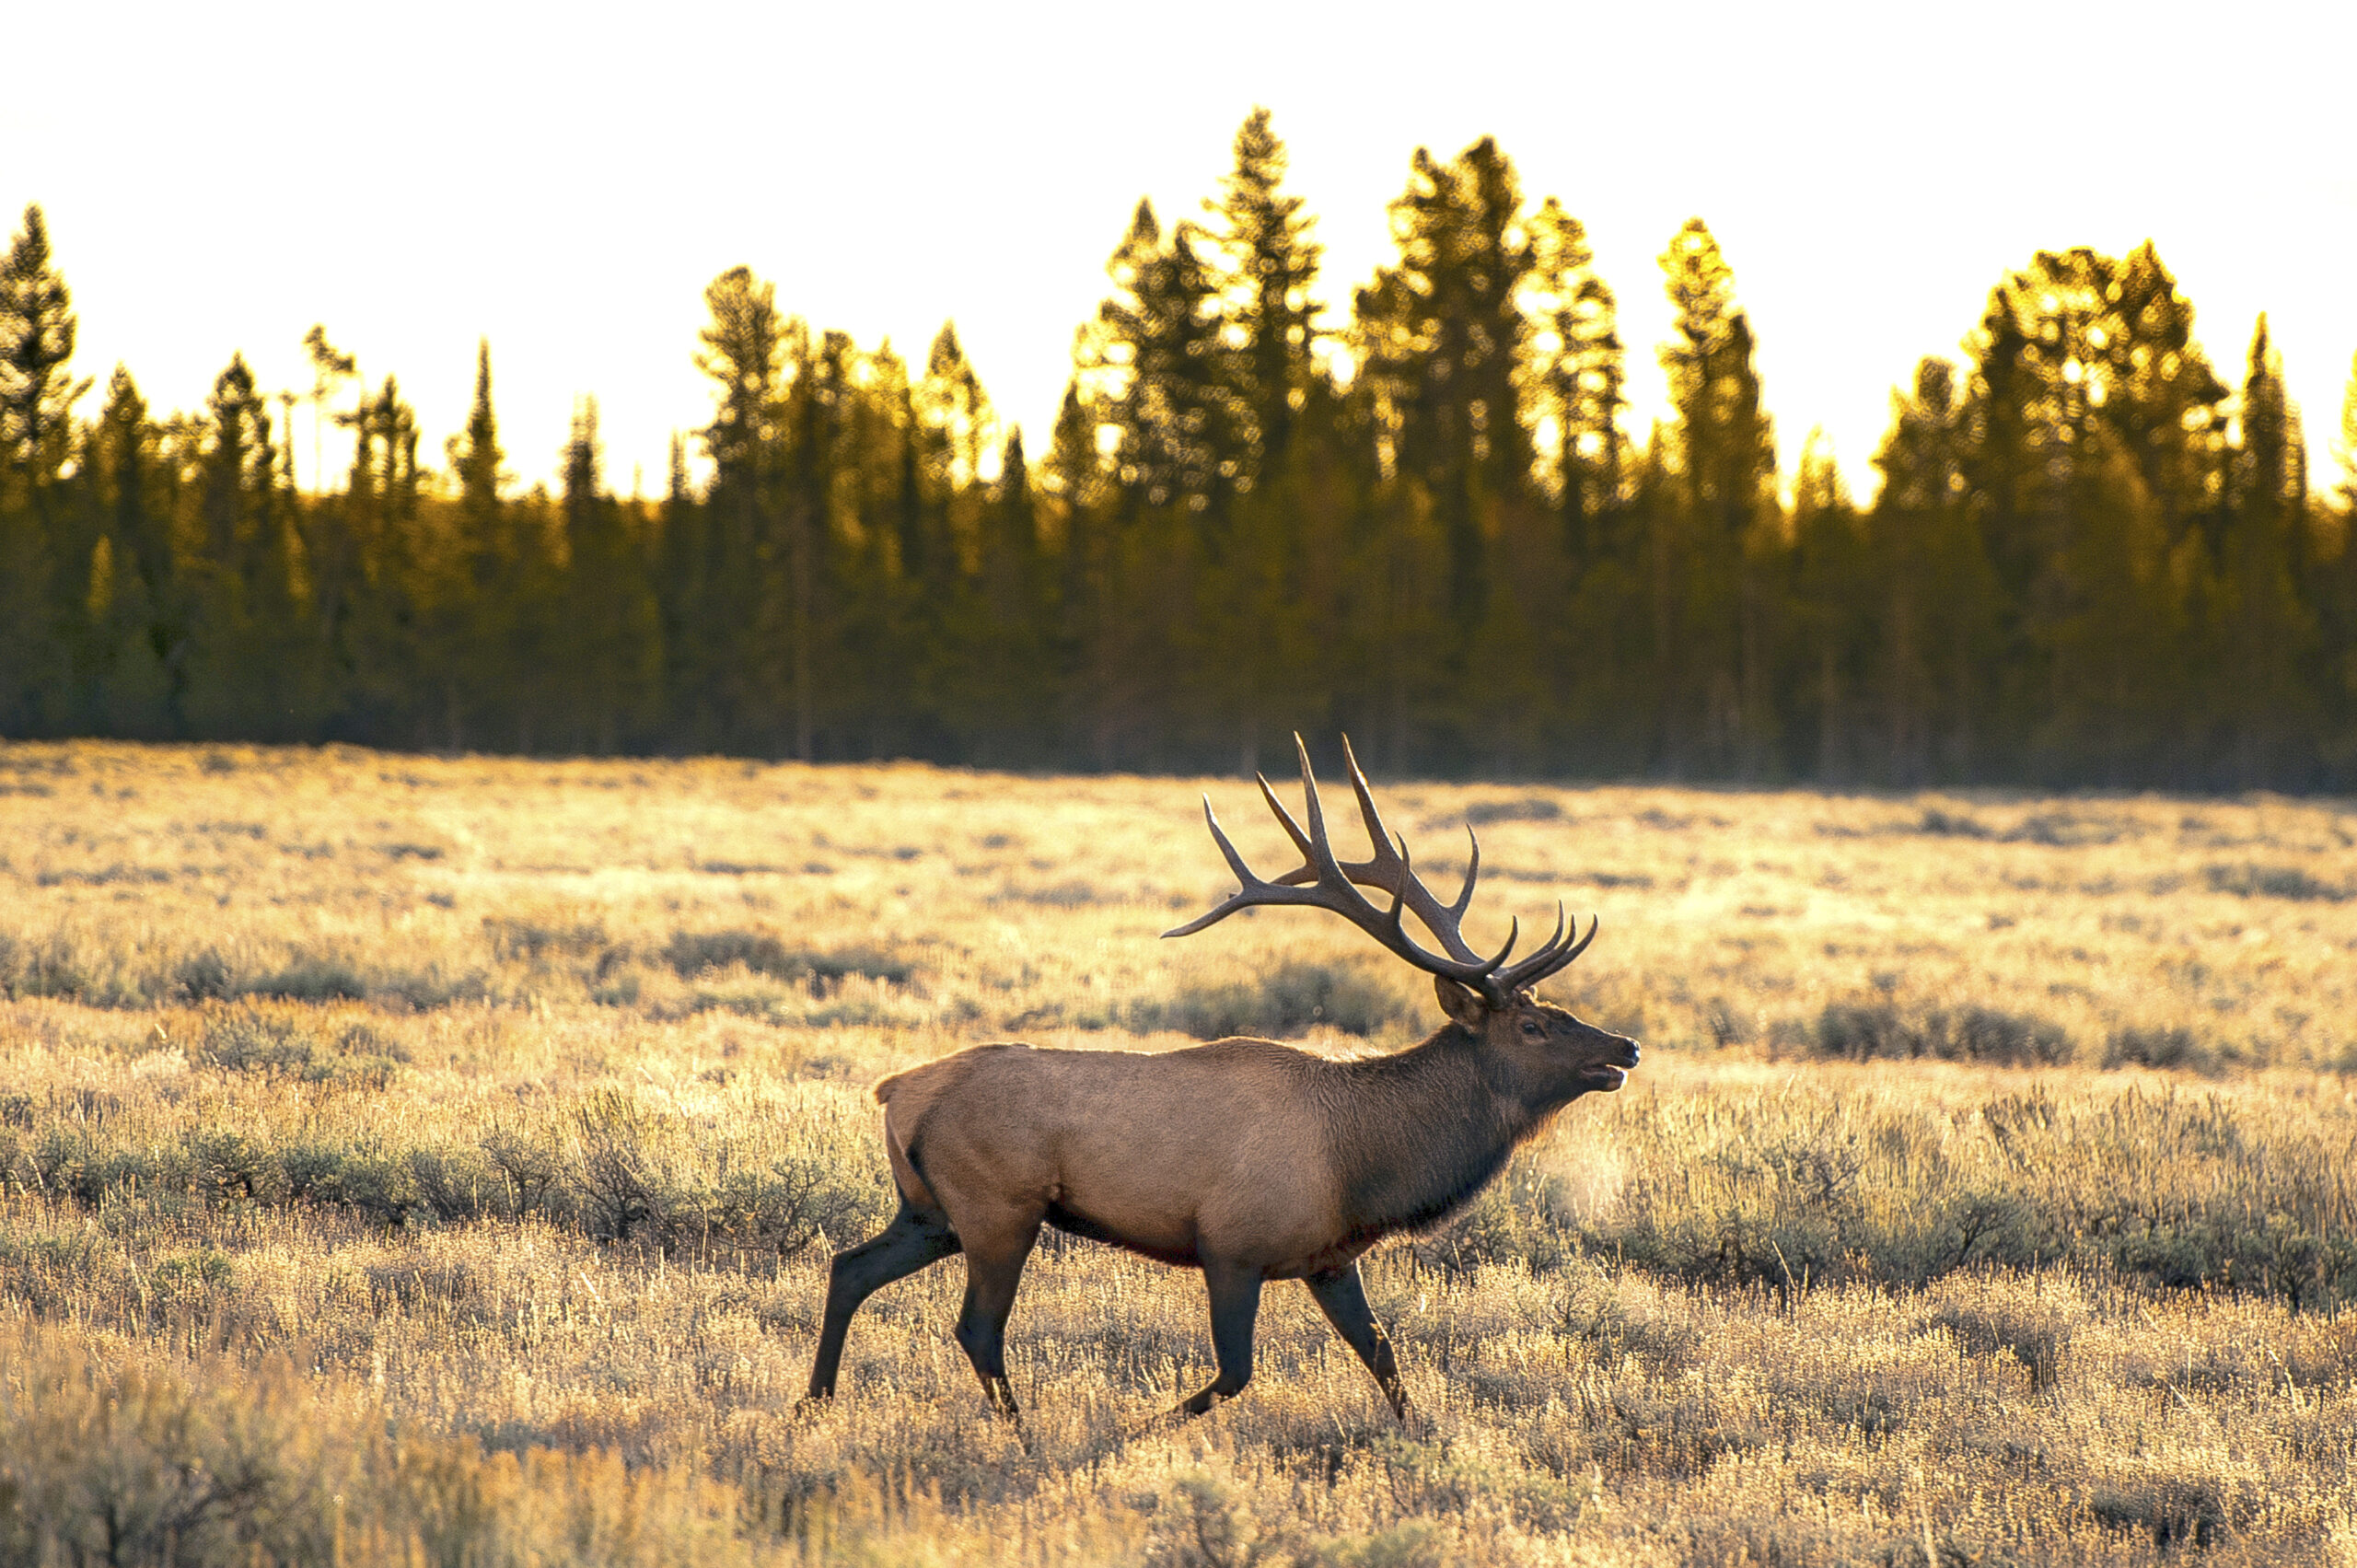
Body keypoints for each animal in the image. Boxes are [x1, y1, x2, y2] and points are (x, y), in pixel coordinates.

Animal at [802, 736, 1640, 1423]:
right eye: (1532, 1026)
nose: (1626, 1046)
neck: (1365, 1162)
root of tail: (894, 1092)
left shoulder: (1330, 1257)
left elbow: (1384, 1355)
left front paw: (1427, 1438)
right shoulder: (1233, 1245)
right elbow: (1235, 1374)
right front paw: (1136, 1430)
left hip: (932, 1211)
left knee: (849, 1266)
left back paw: (815, 1402)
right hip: (999, 1206)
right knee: (977, 1326)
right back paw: (1022, 1433)